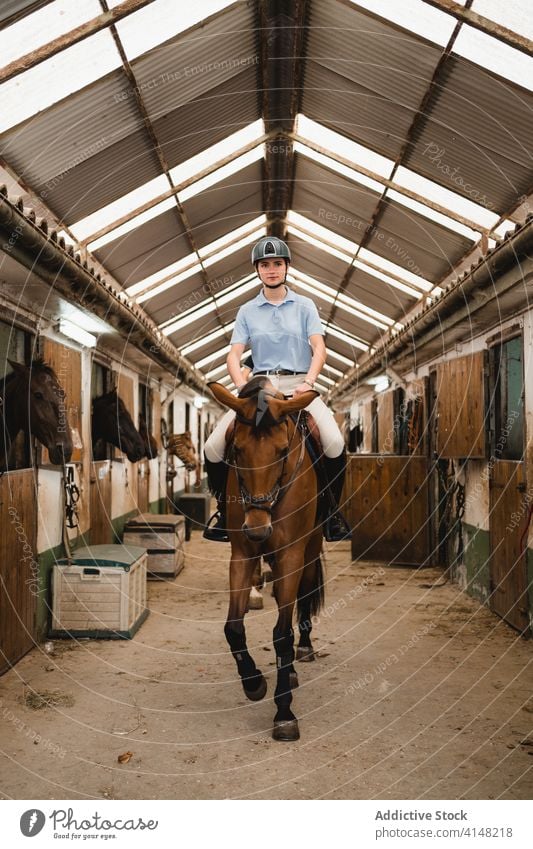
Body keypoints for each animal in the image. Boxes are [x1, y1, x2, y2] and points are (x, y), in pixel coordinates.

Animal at [208, 378, 324, 744]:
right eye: (237, 450)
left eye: (283, 451)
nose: (258, 529)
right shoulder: (242, 554)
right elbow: (233, 627)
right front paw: (253, 682)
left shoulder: (291, 555)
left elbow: (282, 634)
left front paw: (284, 713)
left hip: (310, 550)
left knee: (303, 598)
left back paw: (303, 651)